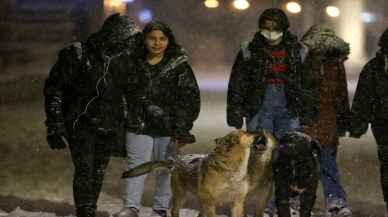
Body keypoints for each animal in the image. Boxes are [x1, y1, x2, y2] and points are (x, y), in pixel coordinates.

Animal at [123, 131, 278, 217]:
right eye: (247, 133)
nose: (259, 132)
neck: (233, 171)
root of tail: (177, 160)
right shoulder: (211, 203)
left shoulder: (237, 203)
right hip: (182, 197)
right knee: (174, 211)